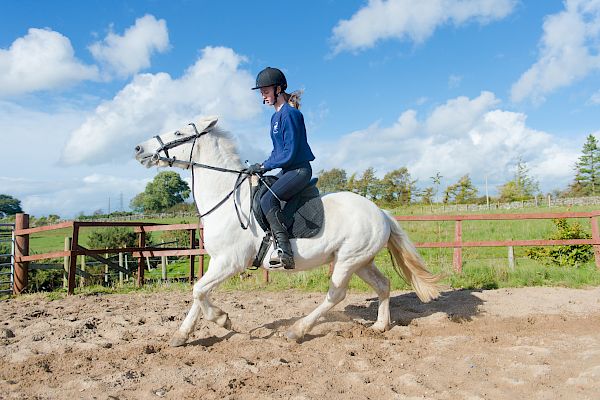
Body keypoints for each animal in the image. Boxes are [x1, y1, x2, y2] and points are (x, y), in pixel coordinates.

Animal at [134, 116, 438, 346]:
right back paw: (380, 326)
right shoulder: (216, 262)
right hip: (361, 261)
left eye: (178, 132)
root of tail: (381, 213)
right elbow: (200, 292)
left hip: (347, 260)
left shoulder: (230, 262)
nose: (138, 148)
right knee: (383, 285)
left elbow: (199, 291)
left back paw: (297, 330)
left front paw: (222, 319)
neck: (227, 198)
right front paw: (182, 335)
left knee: (335, 295)